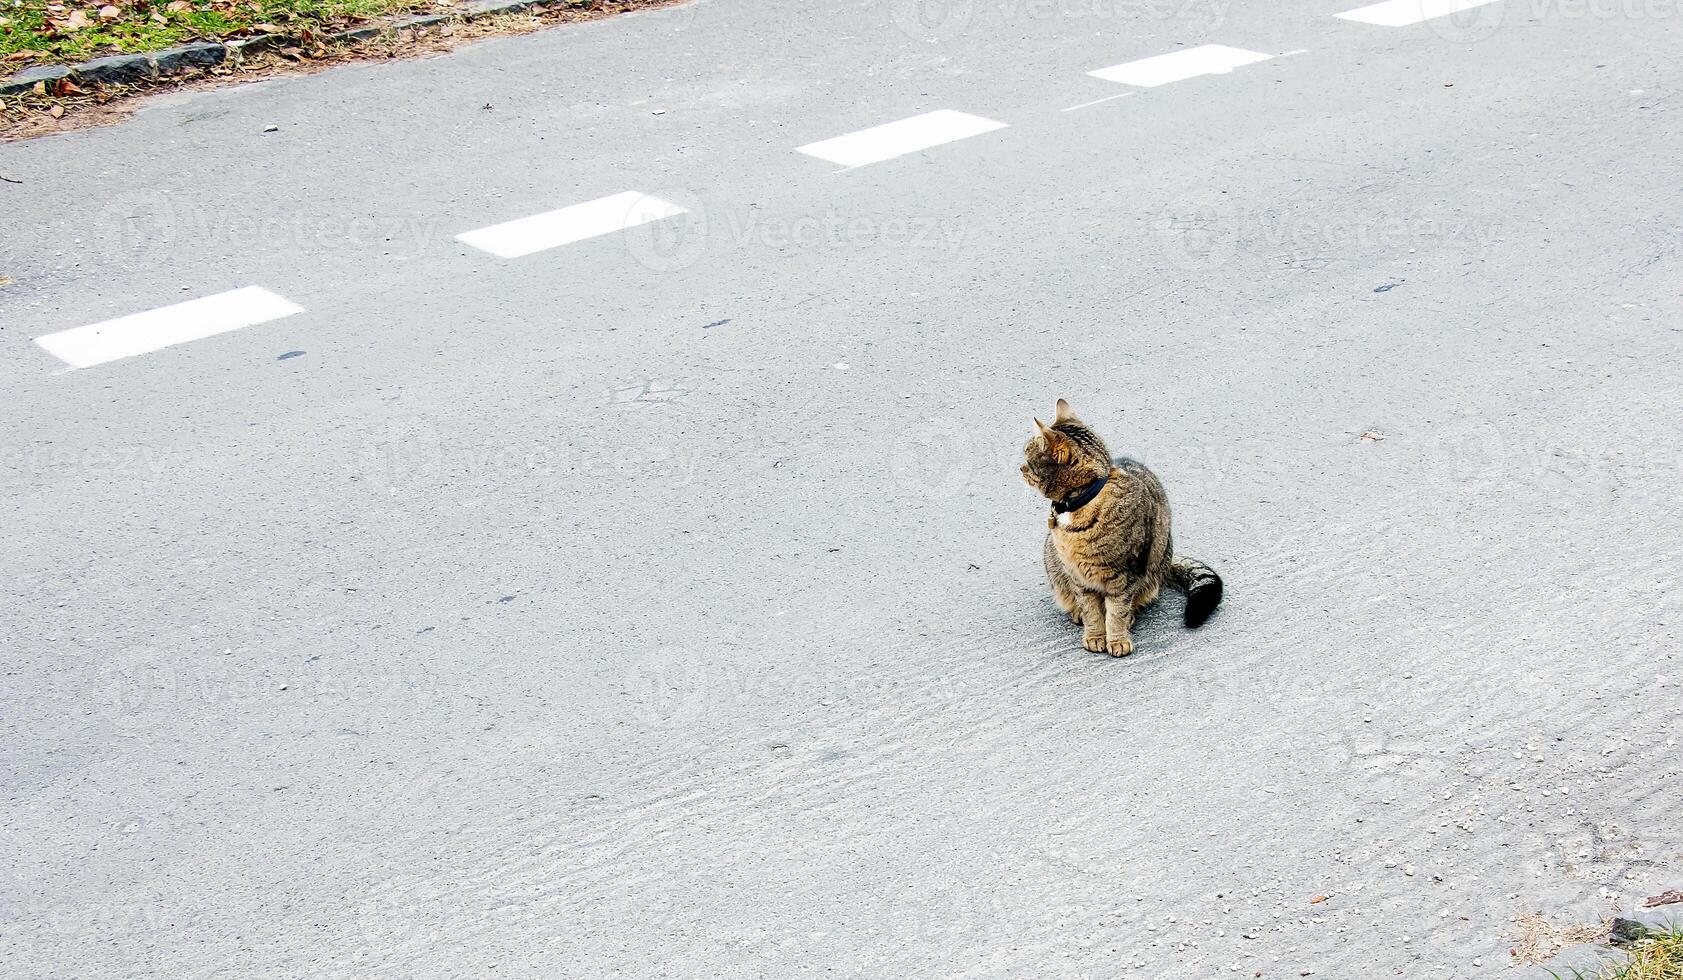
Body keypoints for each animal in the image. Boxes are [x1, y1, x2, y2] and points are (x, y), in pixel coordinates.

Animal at [1009, 399, 1225, 660]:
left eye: (1027, 456)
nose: (1020, 468)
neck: (1081, 500)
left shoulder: (1124, 575)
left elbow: (1116, 612)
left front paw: (1117, 639)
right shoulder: (1078, 578)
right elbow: (1091, 610)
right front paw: (1094, 636)